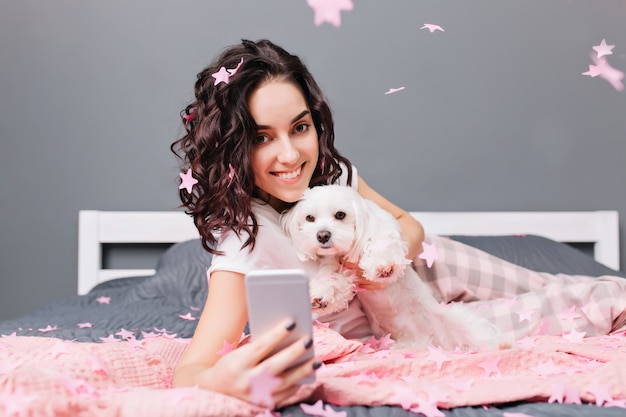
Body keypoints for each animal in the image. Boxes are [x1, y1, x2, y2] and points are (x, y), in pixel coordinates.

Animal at [280, 184, 504, 350]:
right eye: (310, 218)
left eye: (340, 215)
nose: (322, 235)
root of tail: (436, 342)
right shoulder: (336, 265)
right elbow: (333, 281)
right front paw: (321, 297)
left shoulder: (383, 231)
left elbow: (381, 245)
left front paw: (382, 265)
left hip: (463, 323)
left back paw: (500, 344)